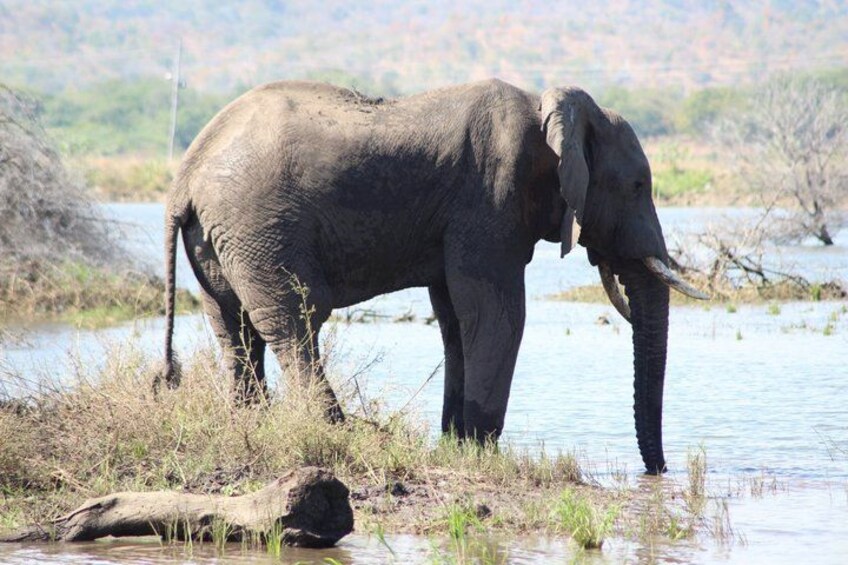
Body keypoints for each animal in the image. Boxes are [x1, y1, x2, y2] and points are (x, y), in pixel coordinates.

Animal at [156, 79, 706, 474]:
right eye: (638, 186)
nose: (658, 472)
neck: (549, 108)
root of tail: (185, 174)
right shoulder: (490, 200)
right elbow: (496, 312)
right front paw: (482, 451)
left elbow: (456, 320)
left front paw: (457, 443)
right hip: (258, 223)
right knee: (294, 321)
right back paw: (337, 432)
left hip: (221, 238)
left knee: (234, 328)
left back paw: (250, 425)